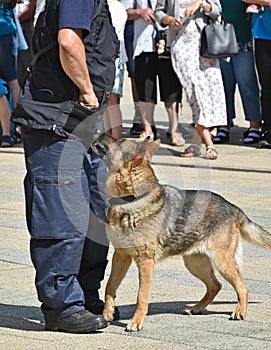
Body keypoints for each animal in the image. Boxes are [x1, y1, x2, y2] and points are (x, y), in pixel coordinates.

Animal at [92, 133, 271, 330]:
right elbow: (110, 286)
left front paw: (136, 322)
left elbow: (141, 297)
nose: (99, 132)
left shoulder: (145, 262)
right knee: (215, 285)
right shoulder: (121, 256)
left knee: (242, 287)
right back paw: (197, 308)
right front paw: (107, 315)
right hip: (194, 263)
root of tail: (231, 206)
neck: (130, 199)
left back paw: (239, 311)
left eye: (120, 141)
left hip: (221, 261)